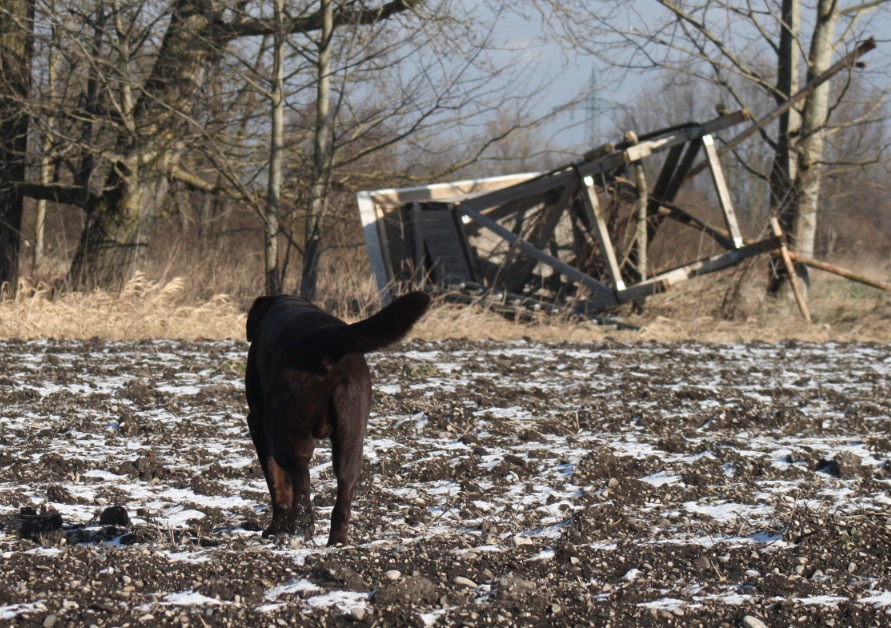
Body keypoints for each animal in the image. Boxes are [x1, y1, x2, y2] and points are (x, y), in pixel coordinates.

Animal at [245, 291, 430, 546]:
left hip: (282, 430)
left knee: (301, 475)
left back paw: (301, 524)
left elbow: (278, 486)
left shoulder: (257, 423)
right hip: (351, 433)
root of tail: (324, 341)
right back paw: (337, 542)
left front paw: (274, 529)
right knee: (345, 485)